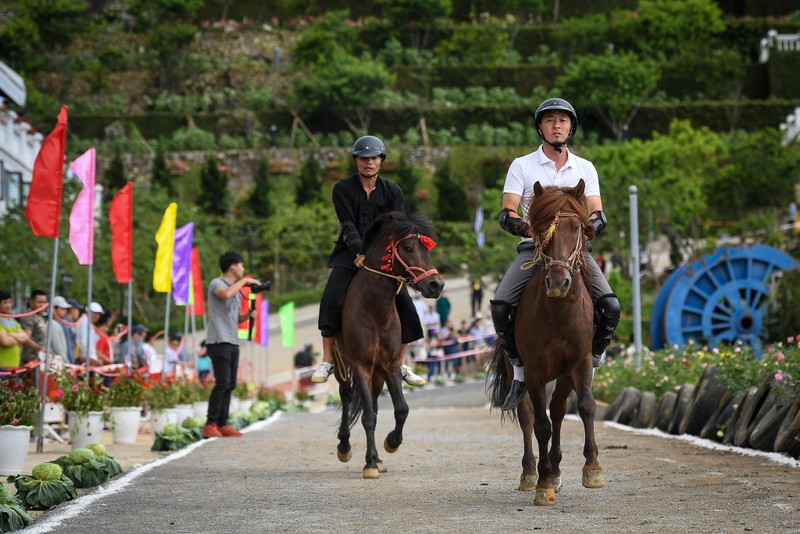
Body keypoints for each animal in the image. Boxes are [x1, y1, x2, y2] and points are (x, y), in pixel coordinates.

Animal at [332, 213, 444, 482]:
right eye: (408, 248)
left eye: (427, 248)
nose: (436, 285)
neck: (375, 308)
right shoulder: (360, 365)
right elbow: (368, 416)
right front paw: (369, 463)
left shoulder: (390, 365)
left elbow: (401, 409)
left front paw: (390, 444)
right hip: (343, 363)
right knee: (347, 395)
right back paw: (345, 446)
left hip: (377, 373)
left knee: (371, 400)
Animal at [488, 180, 608, 506]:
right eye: (541, 228)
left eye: (577, 228)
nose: (558, 283)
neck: (558, 311)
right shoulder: (535, 372)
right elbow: (540, 425)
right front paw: (543, 486)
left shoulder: (579, 363)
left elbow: (586, 406)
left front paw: (592, 469)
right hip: (522, 374)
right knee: (528, 415)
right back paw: (532, 473)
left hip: (564, 375)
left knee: (558, 410)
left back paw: (555, 471)